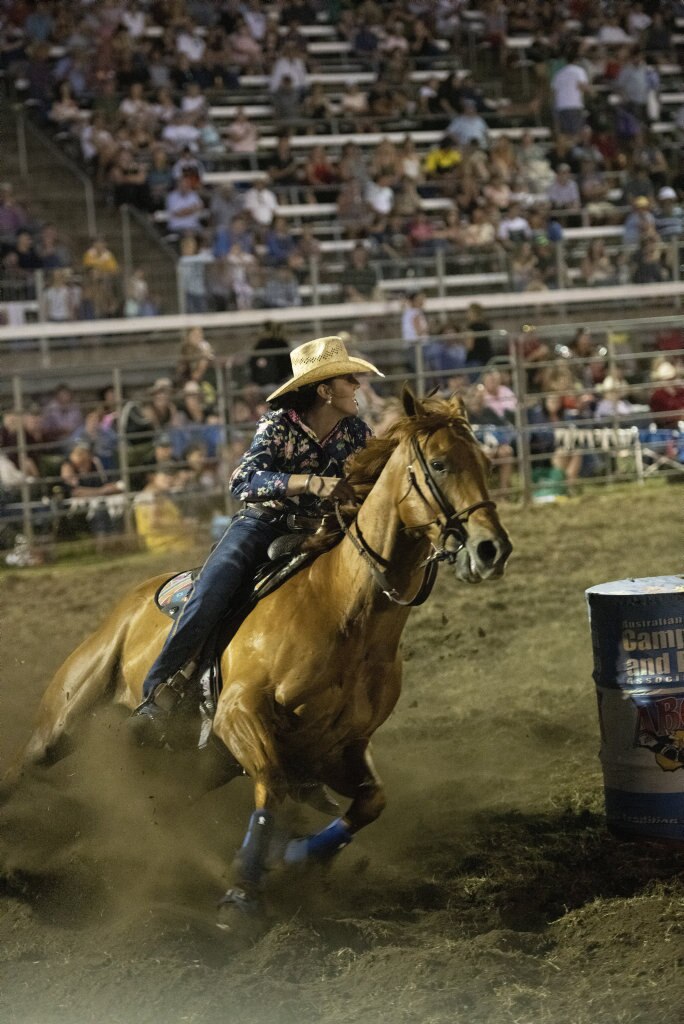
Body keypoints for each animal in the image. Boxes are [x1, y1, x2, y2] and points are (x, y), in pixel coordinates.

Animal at [2, 391, 509, 921]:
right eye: (439, 463)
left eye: (486, 463)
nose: (492, 549)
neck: (342, 609)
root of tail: (132, 600)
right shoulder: (237, 713)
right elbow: (273, 787)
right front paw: (243, 894)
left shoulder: (339, 747)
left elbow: (371, 801)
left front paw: (297, 858)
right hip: (65, 719)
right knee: (23, 764)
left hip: (199, 766)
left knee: (164, 809)